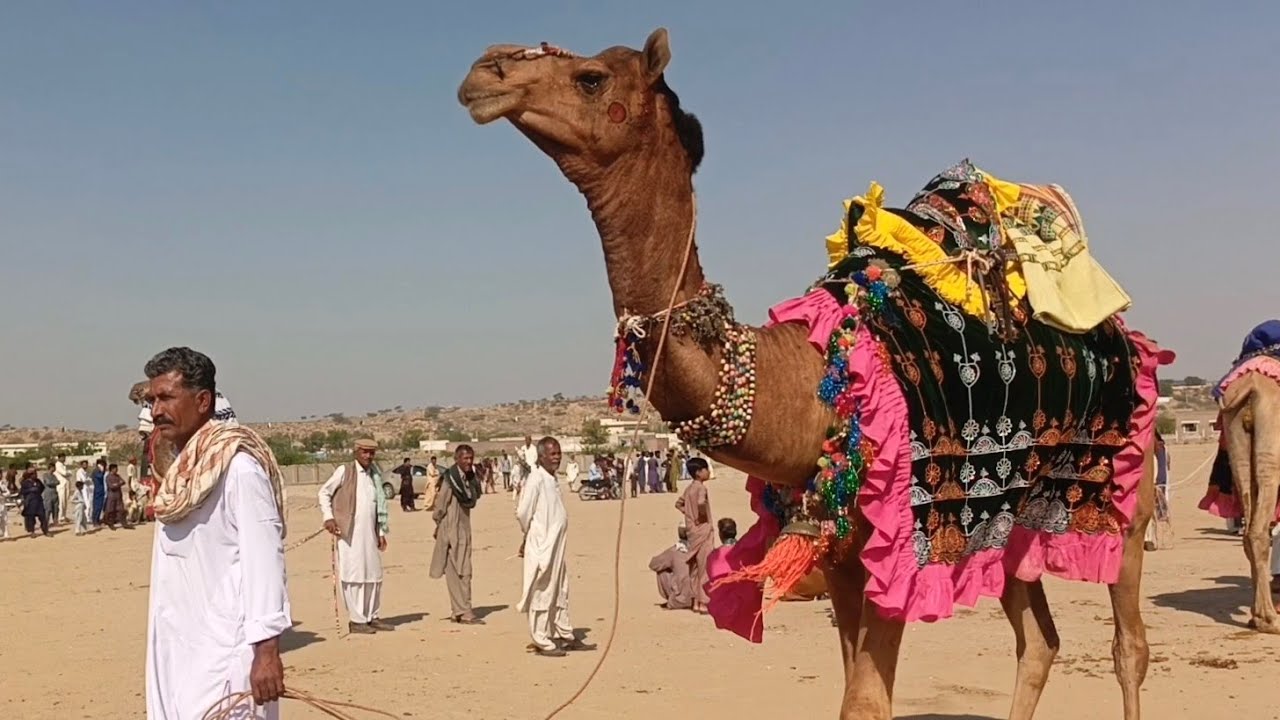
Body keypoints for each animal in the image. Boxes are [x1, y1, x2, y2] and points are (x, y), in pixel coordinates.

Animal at [457, 29, 1160, 719]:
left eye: (591, 77)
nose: (485, 70)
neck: (809, 383)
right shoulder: (841, 558)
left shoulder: (895, 553)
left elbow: (866, 703)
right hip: (1009, 526)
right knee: (1039, 640)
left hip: (1126, 503)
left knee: (1129, 645)